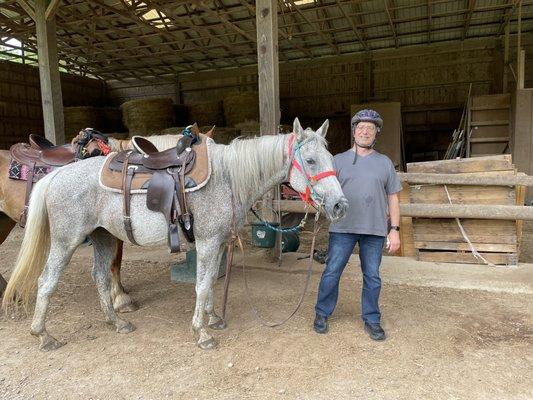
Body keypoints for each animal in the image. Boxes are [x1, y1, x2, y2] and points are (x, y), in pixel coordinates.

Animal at [3, 119, 344, 350]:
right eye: (310, 160)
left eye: (331, 159)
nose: (340, 205)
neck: (228, 177)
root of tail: (57, 175)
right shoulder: (208, 242)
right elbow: (202, 285)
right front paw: (202, 333)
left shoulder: (218, 243)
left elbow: (209, 282)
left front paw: (212, 318)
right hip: (66, 240)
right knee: (46, 281)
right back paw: (43, 335)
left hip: (103, 236)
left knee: (100, 276)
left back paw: (117, 321)